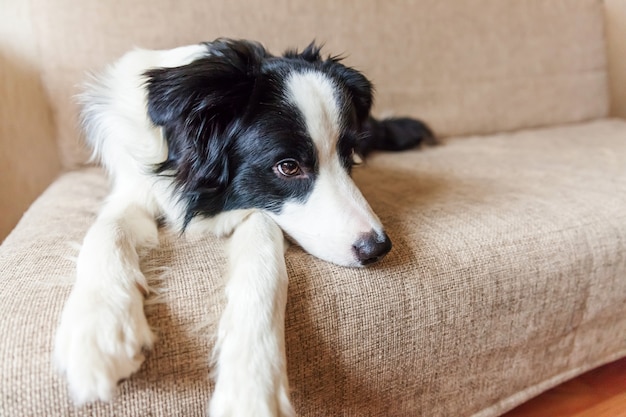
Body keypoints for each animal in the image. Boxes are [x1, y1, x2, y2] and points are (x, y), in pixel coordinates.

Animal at [53, 39, 432, 416]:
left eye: (349, 154)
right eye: (288, 167)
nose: (378, 248)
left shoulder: (258, 213)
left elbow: (264, 261)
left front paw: (252, 384)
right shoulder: (132, 191)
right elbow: (106, 230)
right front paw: (101, 330)